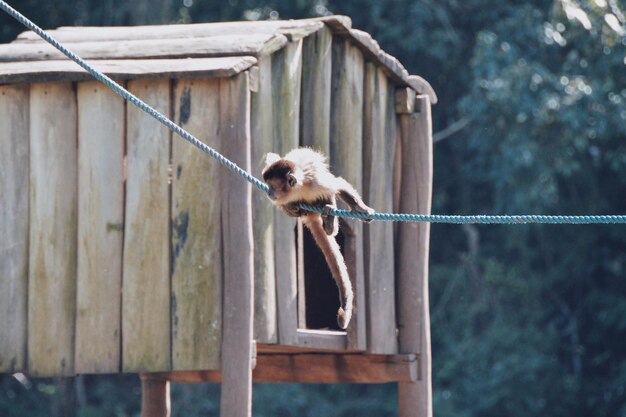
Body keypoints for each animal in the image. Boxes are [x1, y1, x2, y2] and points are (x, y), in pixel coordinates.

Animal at [260, 147, 372, 328]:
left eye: (272, 186)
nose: (269, 192)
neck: (298, 188)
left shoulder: (315, 183)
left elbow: (337, 184)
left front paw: (361, 209)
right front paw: (292, 207)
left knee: (329, 195)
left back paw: (329, 219)